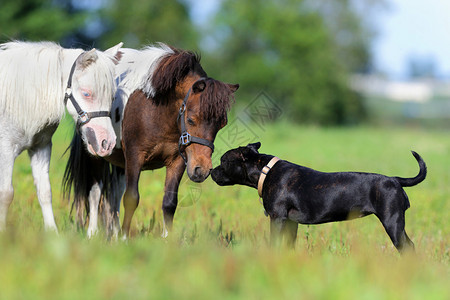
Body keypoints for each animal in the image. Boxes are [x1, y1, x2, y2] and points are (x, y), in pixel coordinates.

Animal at [0, 41, 121, 231]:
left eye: (111, 96)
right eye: (86, 93)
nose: (106, 143)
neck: (17, 98)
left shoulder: (40, 148)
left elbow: (45, 192)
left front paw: (52, 232)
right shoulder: (6, 149)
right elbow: (6, 193)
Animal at [64, 44, 239, 238]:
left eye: (222, 124)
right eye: (191, 119)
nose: (201, 170)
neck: (156, 109)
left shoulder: (177, 162)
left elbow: (169, 202)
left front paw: (166, 239)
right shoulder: (134, 157)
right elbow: (131, 198)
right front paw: (124, 238)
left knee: (114, 194)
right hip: (96, 153)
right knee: (95, 193)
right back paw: (93, 234)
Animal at [211, 143, 426, 253]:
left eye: (223, 160)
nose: (211, 171)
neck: (265, 170)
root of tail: (394, 179)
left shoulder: (277, 218)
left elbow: (275, 243)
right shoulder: (291, 222)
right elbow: (288, 245)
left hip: (392, 221)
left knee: (407, 247)